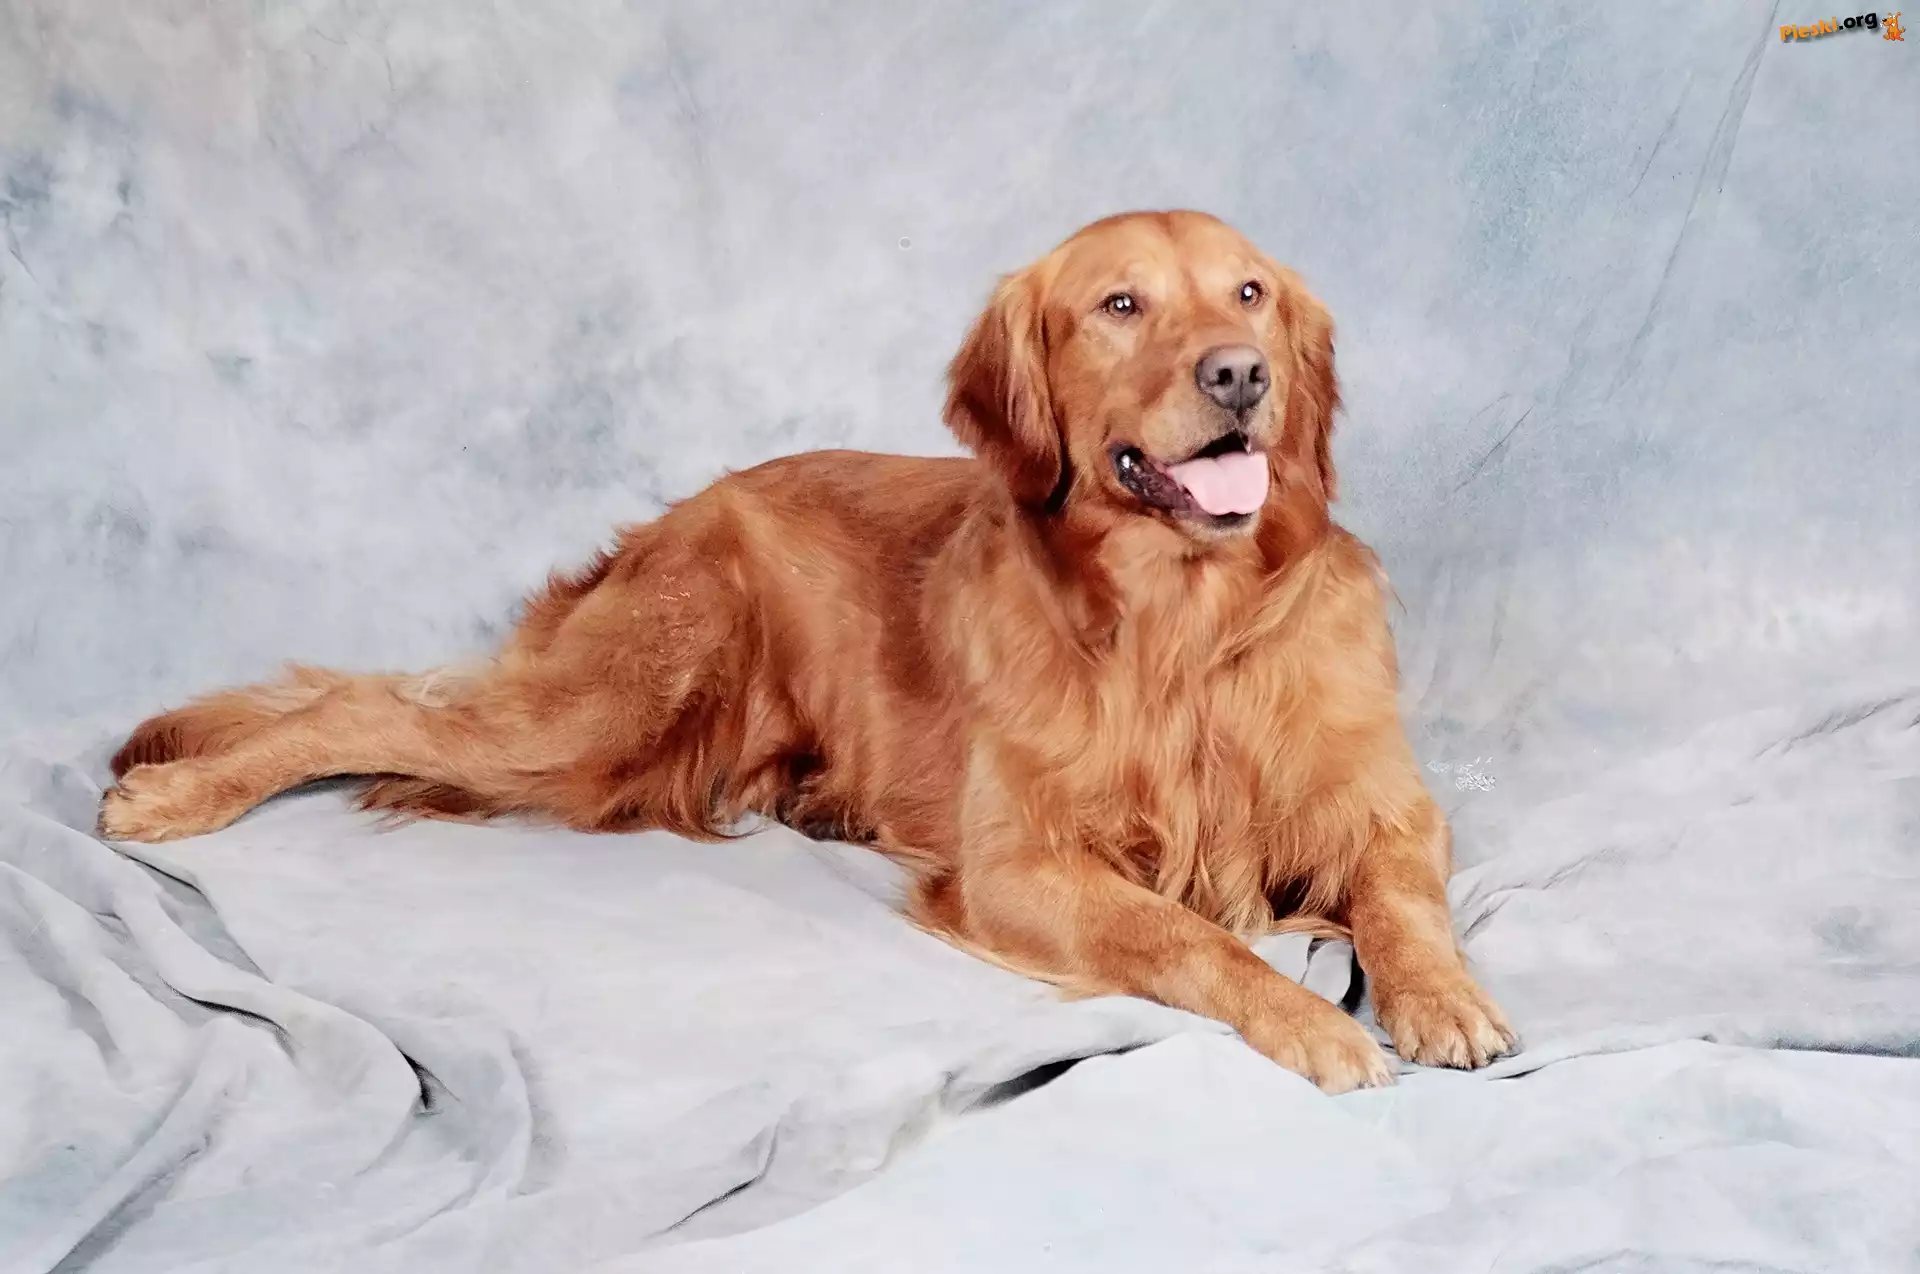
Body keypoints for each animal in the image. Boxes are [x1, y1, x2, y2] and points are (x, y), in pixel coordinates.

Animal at [101, 210, 1514, 1093]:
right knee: (353, 711)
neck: (1187, 626)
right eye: (1121, 304)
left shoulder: (1387, 803)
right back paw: (170, 793)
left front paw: (1443, 996)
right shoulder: (1020, 866)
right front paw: (1308, 1020)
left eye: (1250, 294)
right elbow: (1193, 938)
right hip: (595, 713)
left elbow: (1402, 898)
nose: (1237, 375)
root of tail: (681, 507)